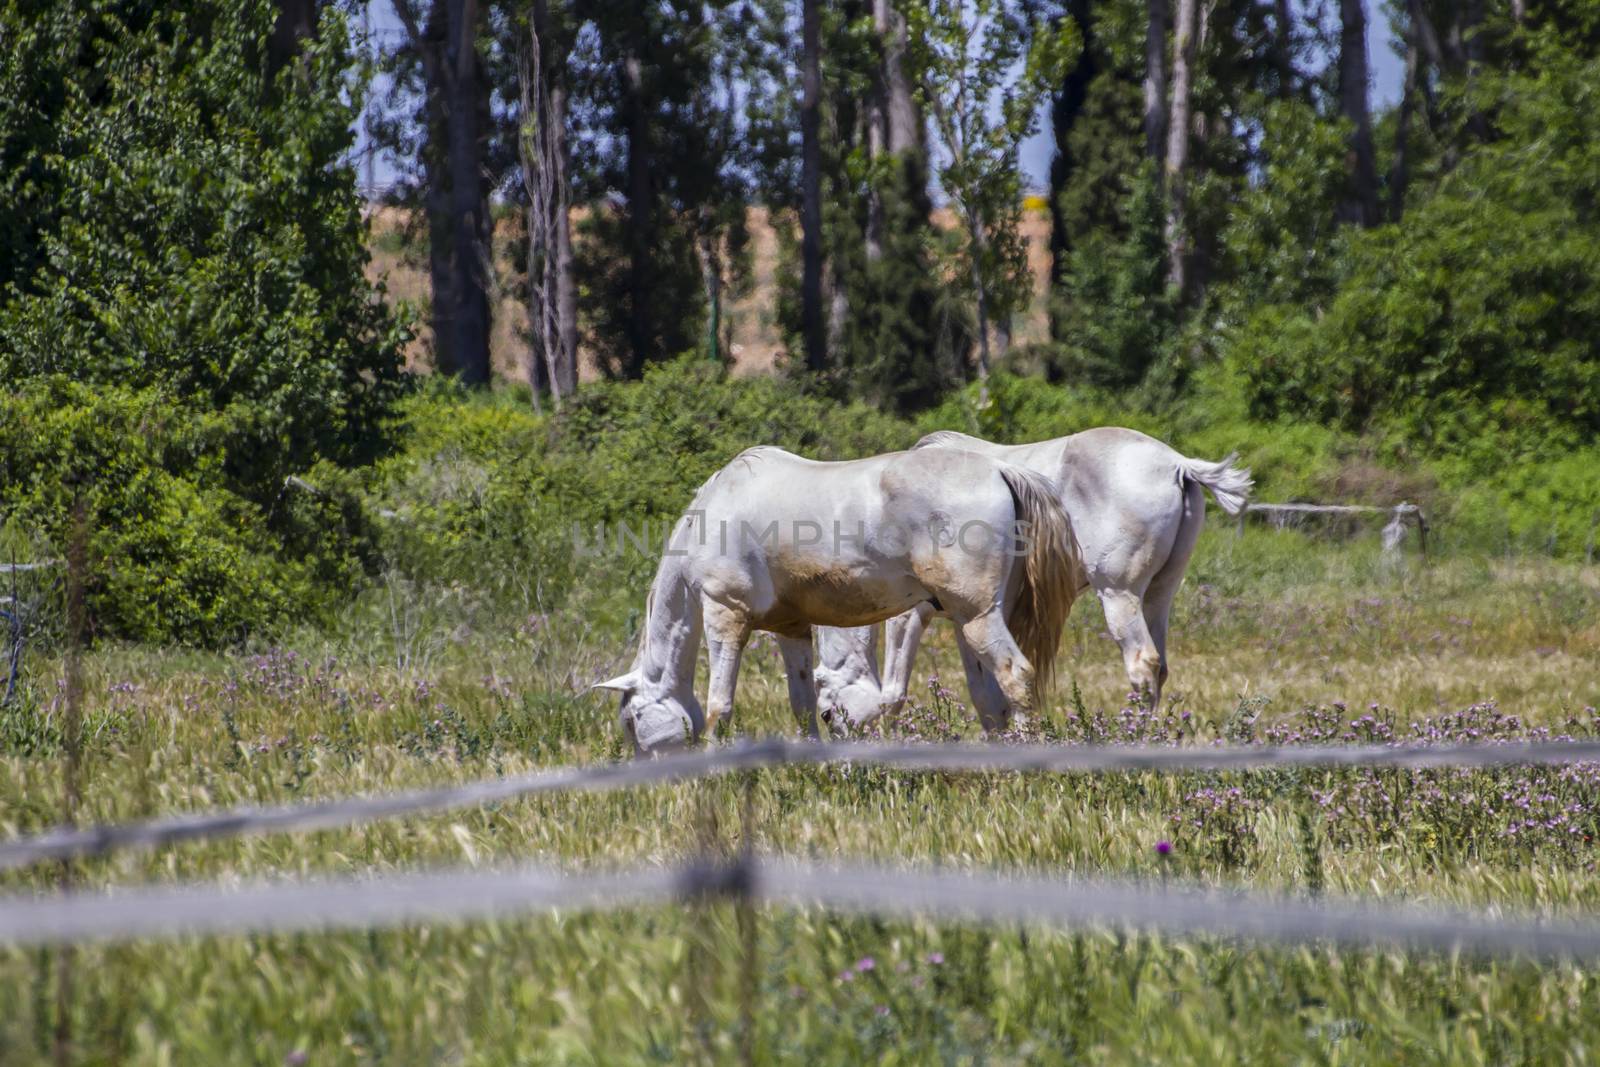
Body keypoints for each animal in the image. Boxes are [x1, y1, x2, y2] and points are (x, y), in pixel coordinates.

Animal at [595, 447, 1081, 755]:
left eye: (632, 720)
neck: (712, 515)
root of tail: (1000, 470)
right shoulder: (790, 629)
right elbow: (802, 703)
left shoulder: (724, 616)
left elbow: (719, 704)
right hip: (975, 619)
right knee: (992, 698)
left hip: (977, 617)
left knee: (1017, 676)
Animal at [812, 428, 1248, 726]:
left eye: (821, 689)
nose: (829, 723)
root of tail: (1177, 463)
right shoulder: (967, 619)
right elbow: (987, 696)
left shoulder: (917, 613)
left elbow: (895, 689)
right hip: (1159, 596)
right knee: (1160, 668)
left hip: (1119, 595)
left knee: (1143, 665)